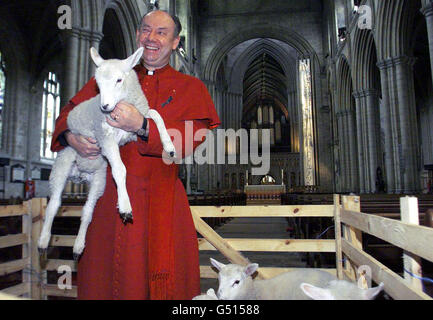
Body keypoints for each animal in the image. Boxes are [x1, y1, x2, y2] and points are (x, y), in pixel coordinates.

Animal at [37, 47, 176, 260]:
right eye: (98, 83)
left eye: (119, 80)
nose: (104, 107)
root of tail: (79, 175)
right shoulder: (106, 138)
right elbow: (119, 169)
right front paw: (125, 206)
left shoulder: (135, 126)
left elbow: (156, 115)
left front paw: (168, 145)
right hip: (62, 166)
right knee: (54, 204)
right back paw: (43, 242)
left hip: (99, 180)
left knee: (87, 211)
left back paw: (78, 247)